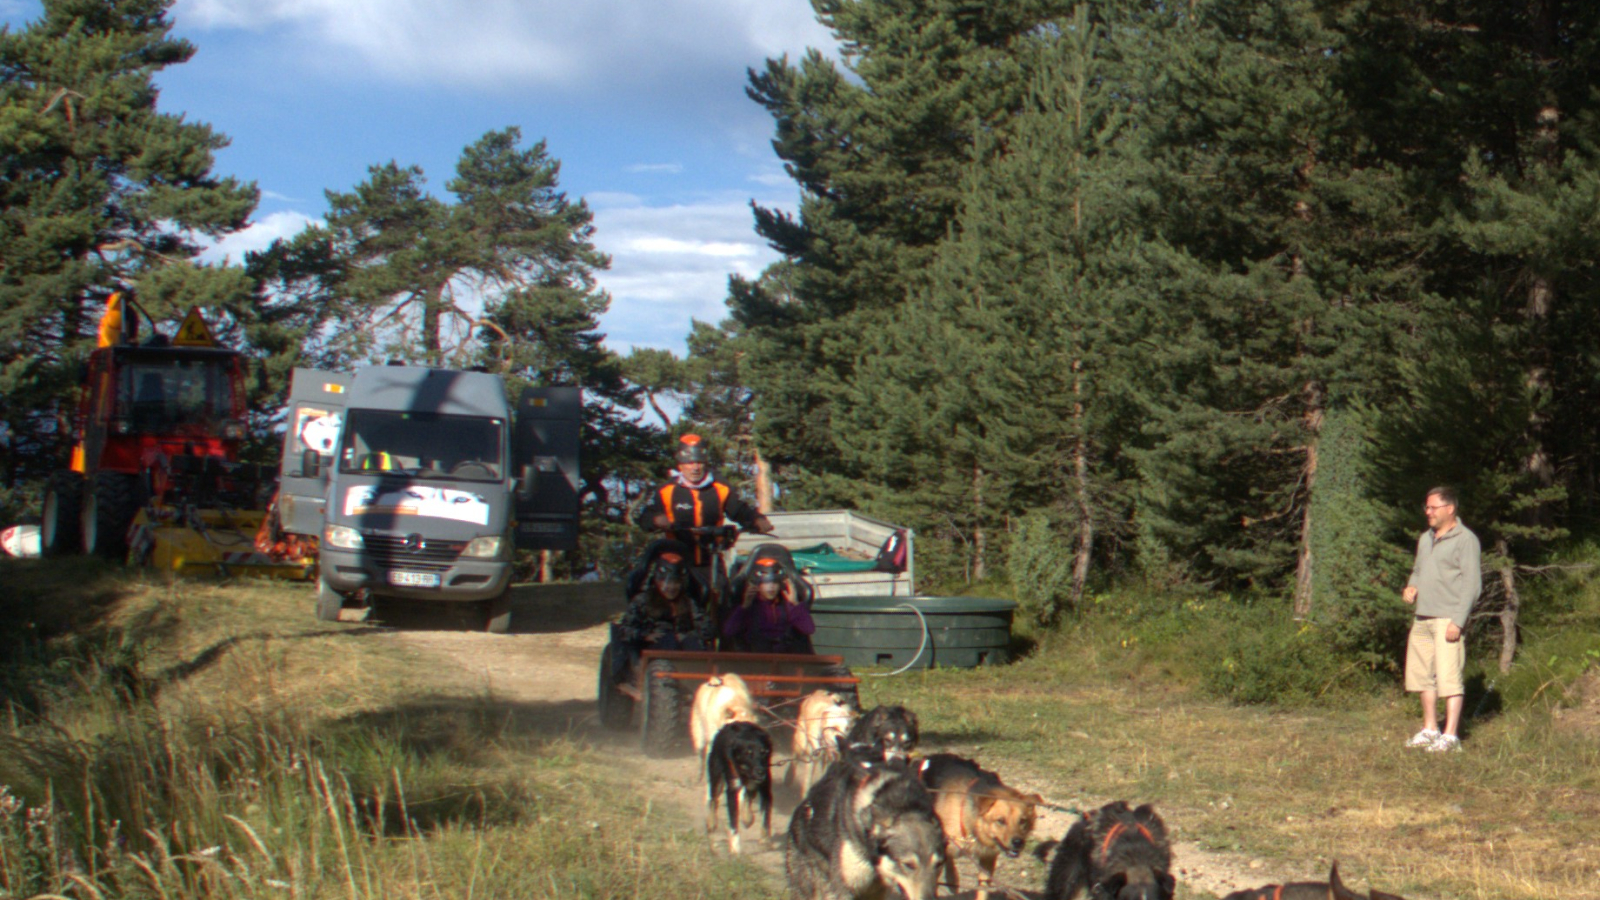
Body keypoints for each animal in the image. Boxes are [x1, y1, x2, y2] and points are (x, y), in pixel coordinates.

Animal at [704, 717, 771, 851]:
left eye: (764, 752)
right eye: (748, 753)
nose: (761, 771)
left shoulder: (765, 788)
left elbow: (765, 817)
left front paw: (764, 839)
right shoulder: (732, 790)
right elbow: (733, 821)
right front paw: (735, 848)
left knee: (748, 795)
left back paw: (747, 817)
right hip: (717, 777)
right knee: (713, 799)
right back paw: (711, 823)